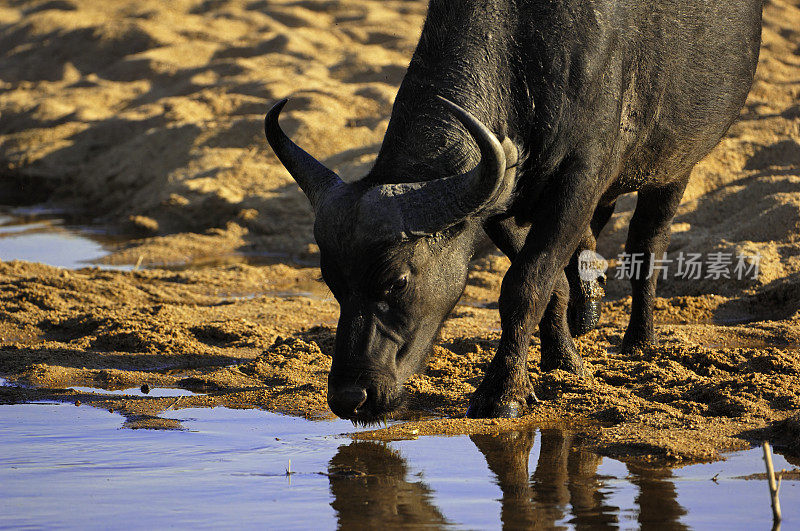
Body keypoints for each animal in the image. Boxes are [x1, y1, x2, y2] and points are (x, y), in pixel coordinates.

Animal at [264, 1, 764, 424]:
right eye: (332, 282)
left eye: (398, 281)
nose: (350, 399)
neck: (525, 55)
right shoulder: (498, 202)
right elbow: (548, 284)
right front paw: (563, 360)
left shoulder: (578, 183)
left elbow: (525, 285)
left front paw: (503, 393)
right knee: (592, 244)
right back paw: (590, 300)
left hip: (675, 165)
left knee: (647, 242)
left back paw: (640, 341)